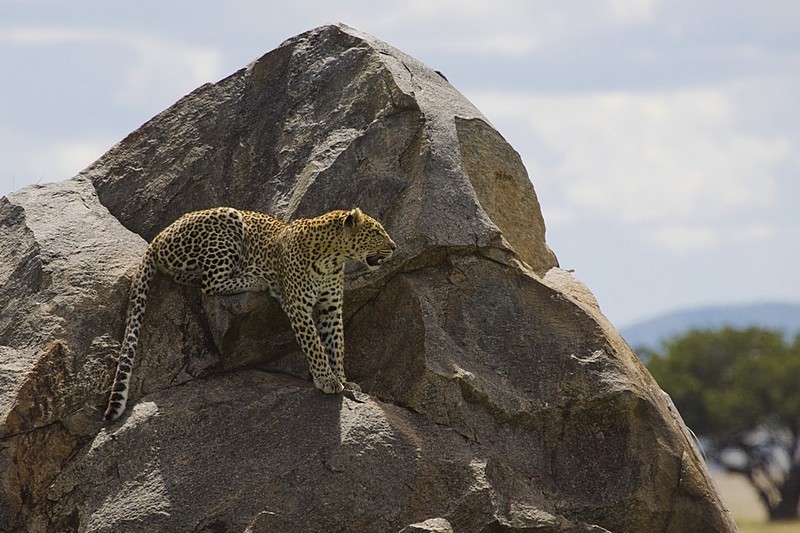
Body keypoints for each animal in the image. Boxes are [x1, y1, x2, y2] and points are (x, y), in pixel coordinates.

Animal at [103, 207, 396, 420]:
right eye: (376, 232)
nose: (394, 246)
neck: (333, 258)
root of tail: (158, 237)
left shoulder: (332, 308)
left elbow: (336, 345)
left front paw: (342, 379)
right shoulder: (298, 306)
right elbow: (315, 345)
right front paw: (326, 379)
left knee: (191, 279)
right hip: (227, 224)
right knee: (210, 284)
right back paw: (254, 279)